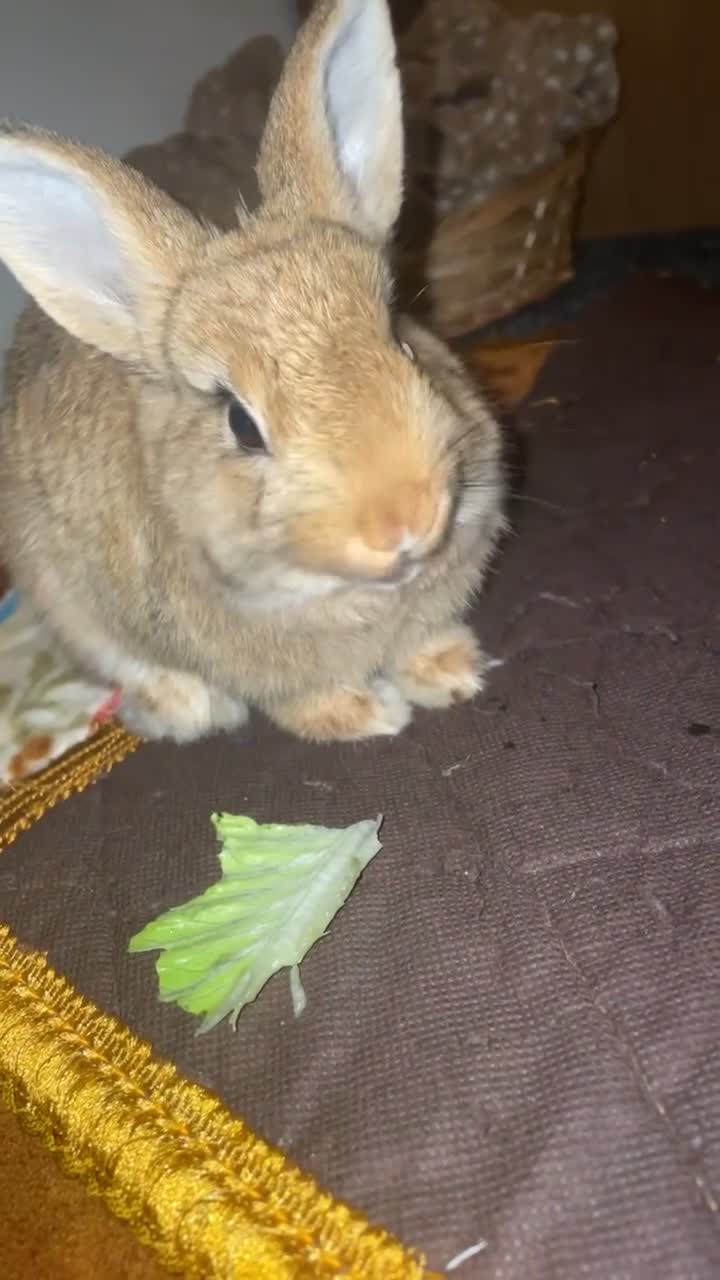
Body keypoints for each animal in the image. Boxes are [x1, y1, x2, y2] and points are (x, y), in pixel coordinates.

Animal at [0, 0, 505, 745]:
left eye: (399, 337)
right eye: (241, 424)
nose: (403, 522)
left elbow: (423, 640)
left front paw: (452, 673)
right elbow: (305, 696)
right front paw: (368, 716)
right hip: (61, 599)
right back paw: (185, 709)